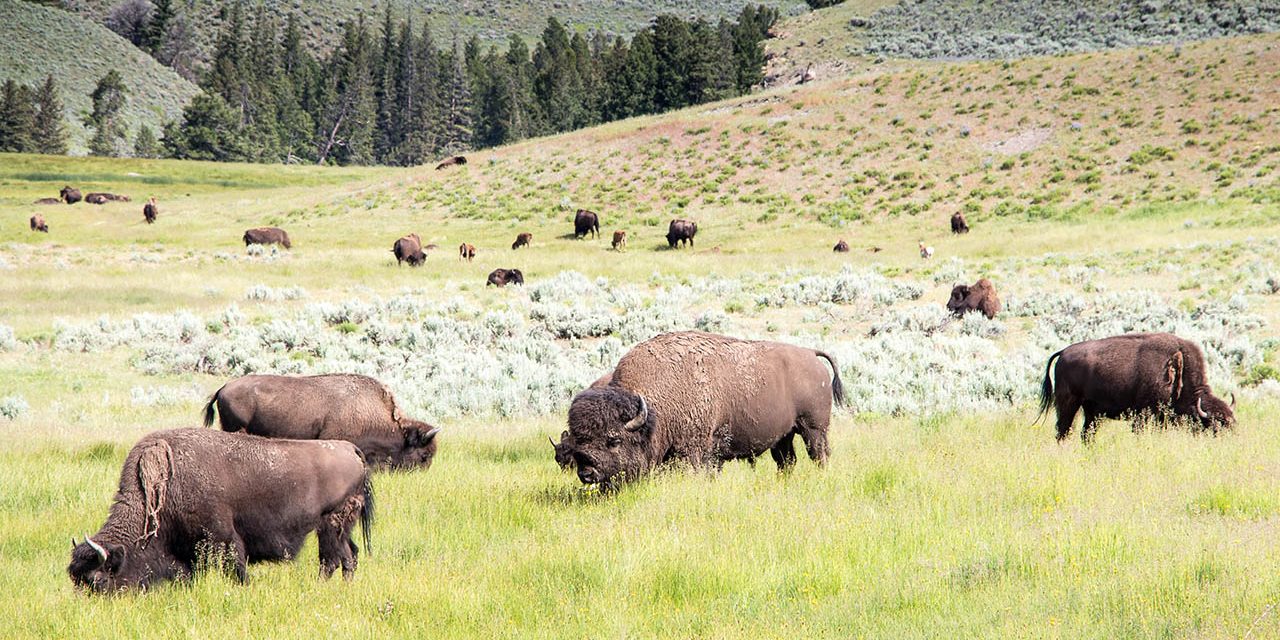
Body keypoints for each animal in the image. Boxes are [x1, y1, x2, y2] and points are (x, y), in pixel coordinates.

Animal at [68, 428, 373, 592]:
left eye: (98, 581)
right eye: (75, 580)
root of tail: (350, 449)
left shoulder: (223, 537)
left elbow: (235, 568)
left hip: (331, 525)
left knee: (333, 559)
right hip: (342, 528)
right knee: (350, 555)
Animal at [562, 331, 845, 487]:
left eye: (614, 440)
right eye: (578, 440)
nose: (587, 473)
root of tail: (810, 354)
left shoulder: (694, 449)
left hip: (813, 429)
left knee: (819, 455)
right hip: (783, 436)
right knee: (787, 461)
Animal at [1038, 332, 1236, 443]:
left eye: (1232, 424)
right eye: (1215, 426)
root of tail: (1062, 353)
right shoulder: (1143, 416)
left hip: (1092, 411)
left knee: (1086, 434)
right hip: (1068, 404)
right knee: (1063, 430)